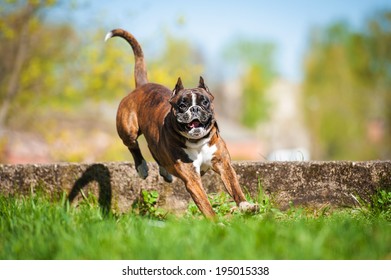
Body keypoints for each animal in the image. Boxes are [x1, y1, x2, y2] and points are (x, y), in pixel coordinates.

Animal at [104, 28, 258, 218]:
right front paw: (216, 221)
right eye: (182, 105)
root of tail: (141, 86)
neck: (198, 143)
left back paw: (165, 172)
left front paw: (246, 205)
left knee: (153, 150)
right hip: (128, 128)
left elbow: (235, 188)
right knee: (133, 146)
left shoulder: (223, 165)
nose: (194, 108)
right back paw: (142, 168)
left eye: (205, 102)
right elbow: (205, 203)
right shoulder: (192, 180)